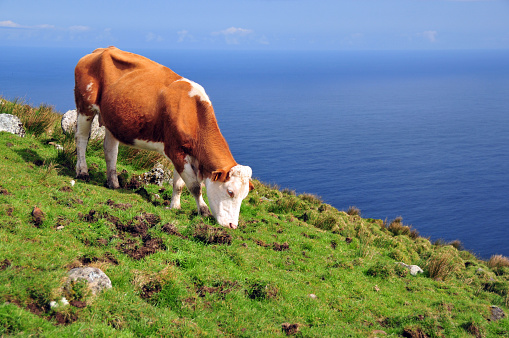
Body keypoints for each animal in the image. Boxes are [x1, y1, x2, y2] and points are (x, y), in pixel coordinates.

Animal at [73, 46, 252, 228]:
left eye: (244, 196)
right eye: (230, 191)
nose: (233, 225)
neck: (193, 113)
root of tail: (101, 50)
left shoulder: (183, 153)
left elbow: (179, 184)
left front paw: (174, 206)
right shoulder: (175, 150)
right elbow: (195, 186)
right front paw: (203, 210)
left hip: (113, 119)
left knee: (110, 150)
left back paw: (113, 182)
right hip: (85, 106)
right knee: (81, 138)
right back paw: (82, 171)